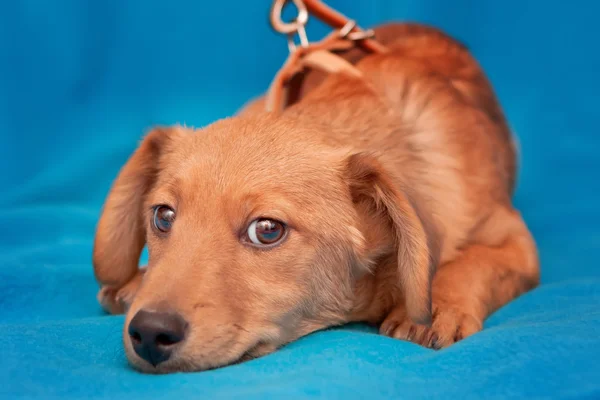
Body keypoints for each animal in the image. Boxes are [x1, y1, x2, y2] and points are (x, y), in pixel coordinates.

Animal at [92, 23, 540, 374]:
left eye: (267, 230)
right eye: (163, 216)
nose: (149, 331)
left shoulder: (516, 242)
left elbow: (472, 263)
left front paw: (439, 306)